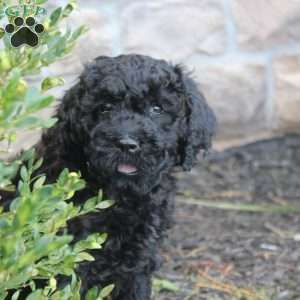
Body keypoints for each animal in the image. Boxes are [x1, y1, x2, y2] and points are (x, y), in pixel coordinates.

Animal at [2, 55, 214, 298]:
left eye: (157, 109)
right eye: (105, 108)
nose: (127, 144)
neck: (121, 195)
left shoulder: (139, 260)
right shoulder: (64, 260)